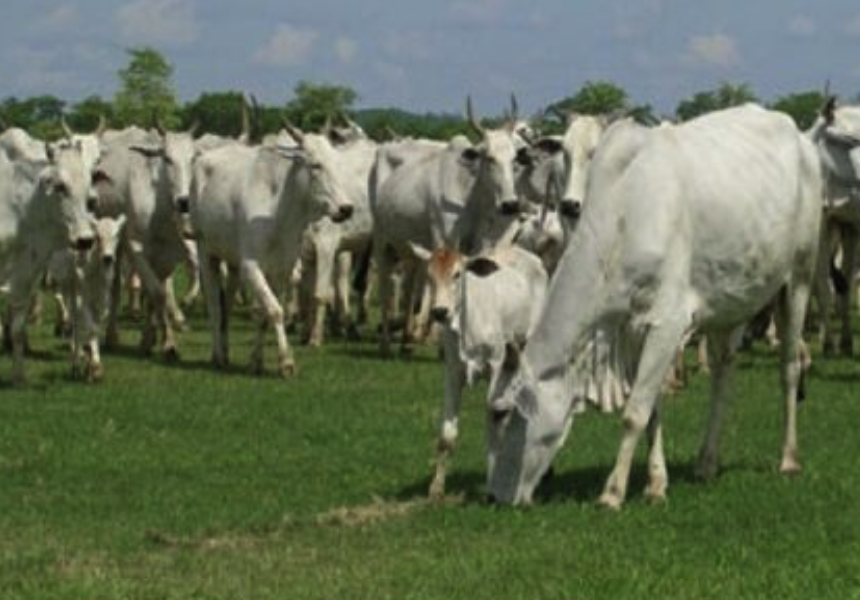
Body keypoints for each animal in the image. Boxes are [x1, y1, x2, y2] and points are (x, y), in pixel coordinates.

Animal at [193, 125, 354, 378]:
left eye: (338, 164)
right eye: (316, 165)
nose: (346, 208)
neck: (279, 213)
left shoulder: (282, 270)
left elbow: (264, 313)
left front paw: (256, 362)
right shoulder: (251, 267)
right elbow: (275, 310)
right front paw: (286, 362)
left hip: (233, 263)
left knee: (226, 304)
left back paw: (225, 352)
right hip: (205, 250)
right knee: (214, 304)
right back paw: (217, 355)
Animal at [408, 243, 548, 496]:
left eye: (457, 274)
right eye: (429, 275)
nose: (439, 311)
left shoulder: (497, 369)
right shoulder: (452, 373)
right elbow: (447, 436)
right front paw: (436, 488)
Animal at [488, 106, 824, 506]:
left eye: (502, 413)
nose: (493, 497)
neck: (624, 215)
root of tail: (799, 135)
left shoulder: (668, 323)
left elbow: (635, 412)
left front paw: (613, 493)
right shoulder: (634, 330)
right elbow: (650, 410)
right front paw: (656, 483)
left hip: (799, 278)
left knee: (789, 367)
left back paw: (788, 459)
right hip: (730, 302)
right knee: (724, 376)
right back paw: (706, 462)